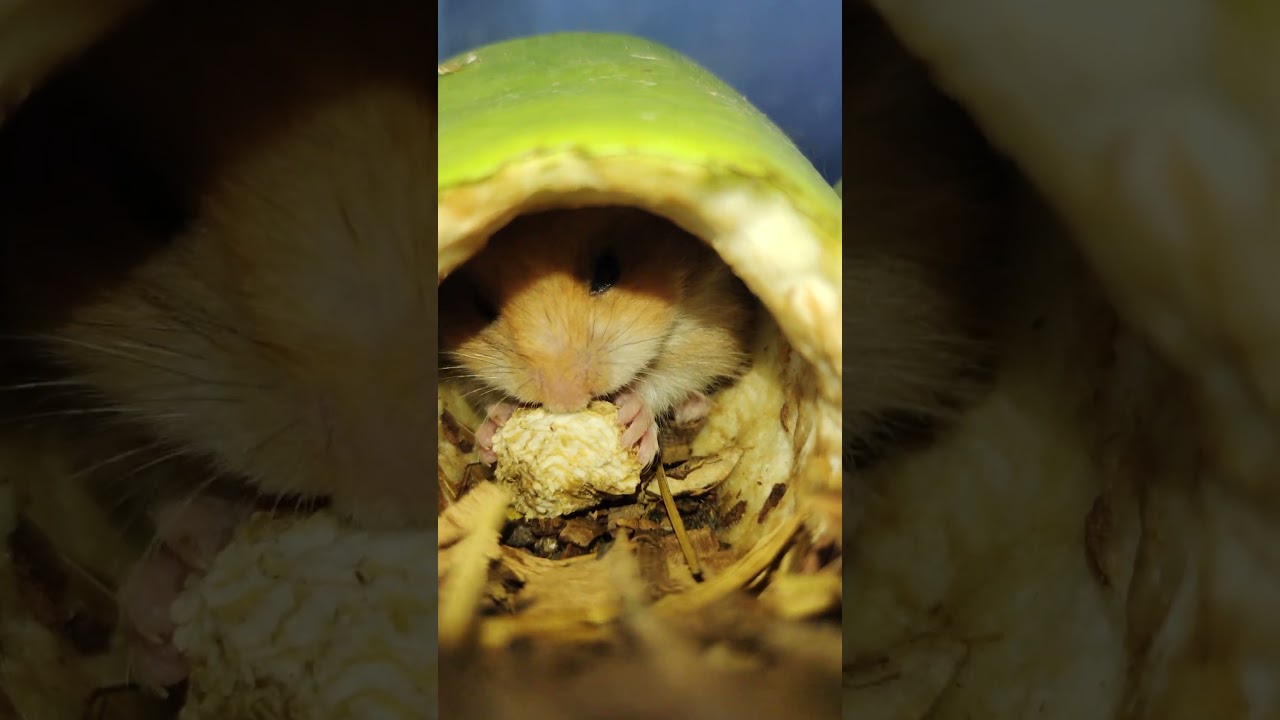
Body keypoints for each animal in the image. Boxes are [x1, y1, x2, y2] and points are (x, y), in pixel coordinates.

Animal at [438, 207, 757, 467]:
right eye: (481, 306)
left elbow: (664, 379)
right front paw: (490, 437)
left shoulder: (707, 328)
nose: (567, 402)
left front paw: (633, 424)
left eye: (607, 272)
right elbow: (485, 394)